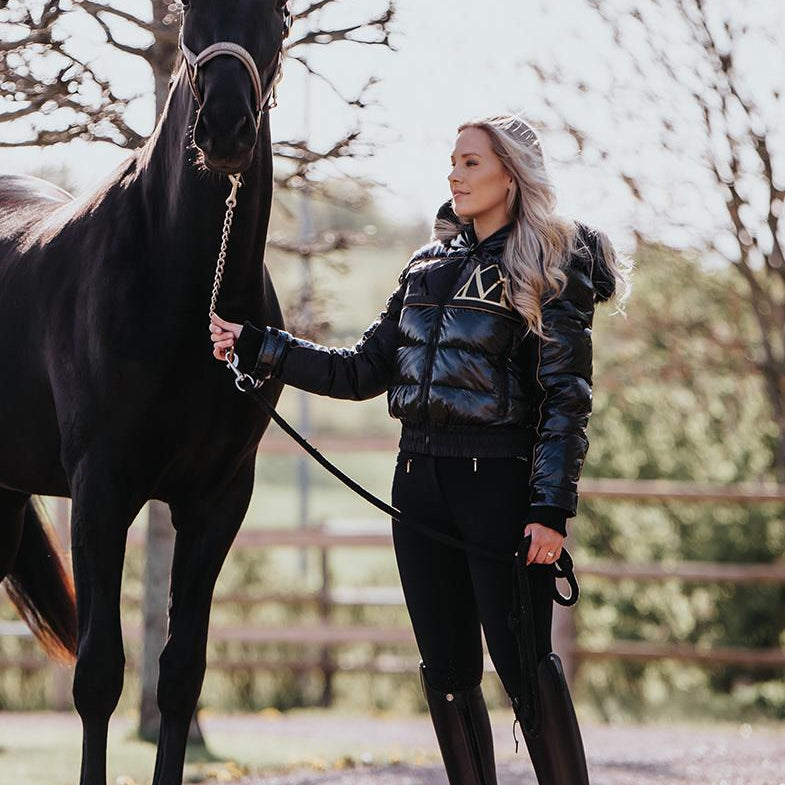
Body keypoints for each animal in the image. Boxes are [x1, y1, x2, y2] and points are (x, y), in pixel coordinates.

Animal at [0, 2, 291, 783]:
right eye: (190, 11)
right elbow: (99, 673)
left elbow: (181, 673)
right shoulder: (100, 489)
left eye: (281, 16)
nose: (224, 127)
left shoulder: (218, 499)